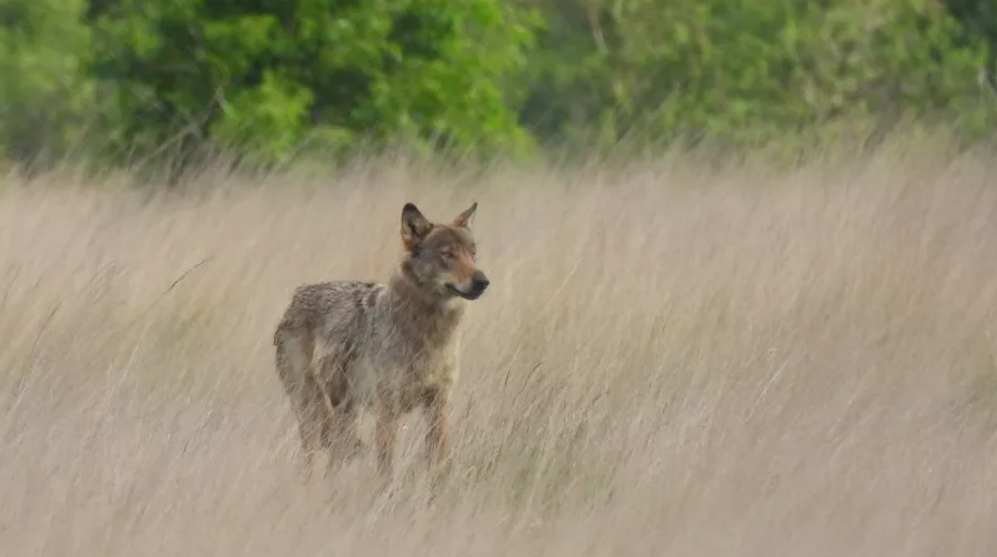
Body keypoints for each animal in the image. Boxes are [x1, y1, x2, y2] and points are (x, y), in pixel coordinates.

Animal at [273, 201, 489, 488]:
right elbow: (386, 471)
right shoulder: (388, 412)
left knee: (335, 459)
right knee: (311, 459)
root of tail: (295, 297)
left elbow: (438, 468)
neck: (428, 335)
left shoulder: (438, 408)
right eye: (447, 254)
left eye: (472, 254)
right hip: (312, 412)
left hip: (345, 414)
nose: (482, 281)